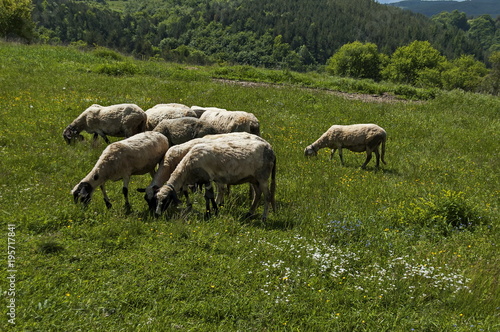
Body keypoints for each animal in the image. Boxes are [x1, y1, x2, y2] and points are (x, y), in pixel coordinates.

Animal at [137, 132, 266, 215]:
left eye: (152, 200)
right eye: (148, 199)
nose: (152, 213)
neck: (169, 163)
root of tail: (260, 138)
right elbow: (185, 191)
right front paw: (188, 205)